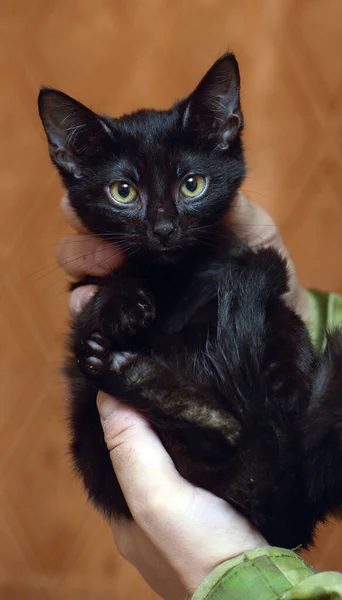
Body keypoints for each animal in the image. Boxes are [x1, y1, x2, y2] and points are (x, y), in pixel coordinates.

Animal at [38, 54, 342, 552]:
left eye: (192, 185)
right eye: (123, 192)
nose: (163, 229)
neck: (175, 278)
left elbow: (290, 324)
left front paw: (288, 377)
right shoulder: (84, 293)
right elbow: (96, 305)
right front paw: (122, 305)